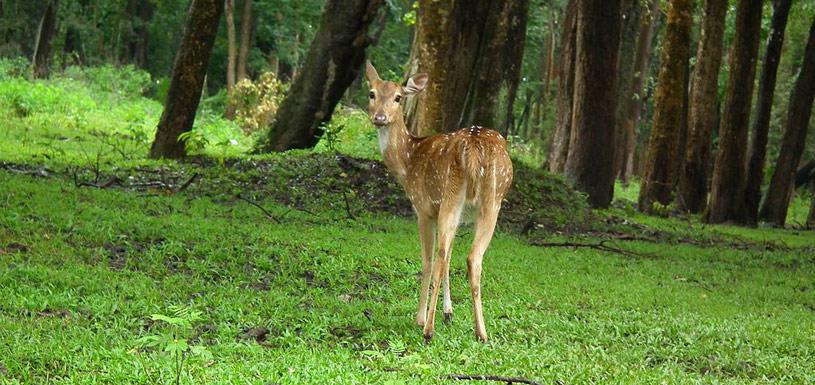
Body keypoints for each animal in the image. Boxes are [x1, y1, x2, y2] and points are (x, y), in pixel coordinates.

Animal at [366, 61, 512, 340]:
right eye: (372, 93)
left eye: (398, 97)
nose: (379, 118)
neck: (407, 162)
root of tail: (474, 147)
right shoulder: (457, 216)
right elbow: (449, 255)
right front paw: (448, 312)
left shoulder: (423, 208)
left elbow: (427, 261)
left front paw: (421, 317)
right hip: (488, 200)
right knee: (467, 257)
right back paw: (479, 332)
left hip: (452, 196)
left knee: (442, 257)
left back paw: (428, 327)